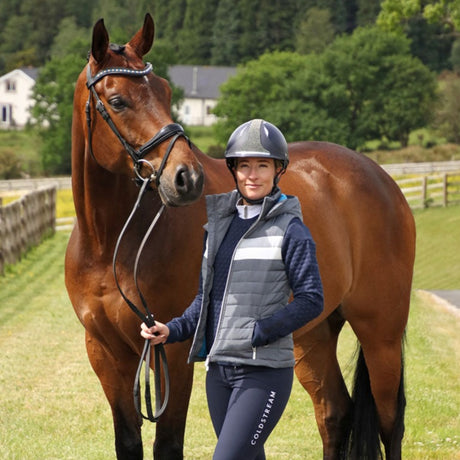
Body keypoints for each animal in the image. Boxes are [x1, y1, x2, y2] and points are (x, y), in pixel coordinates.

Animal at [65, 13, 416, 460]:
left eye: (165, 92)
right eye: (117, 101)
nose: (187, 178)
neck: (111, 243)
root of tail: (381, 179)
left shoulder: (173, 351)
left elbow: (169, 444)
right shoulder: (105, 353)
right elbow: (127, 442)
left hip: (380, 332)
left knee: (390, 423)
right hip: (312, 334)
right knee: (335, 413)